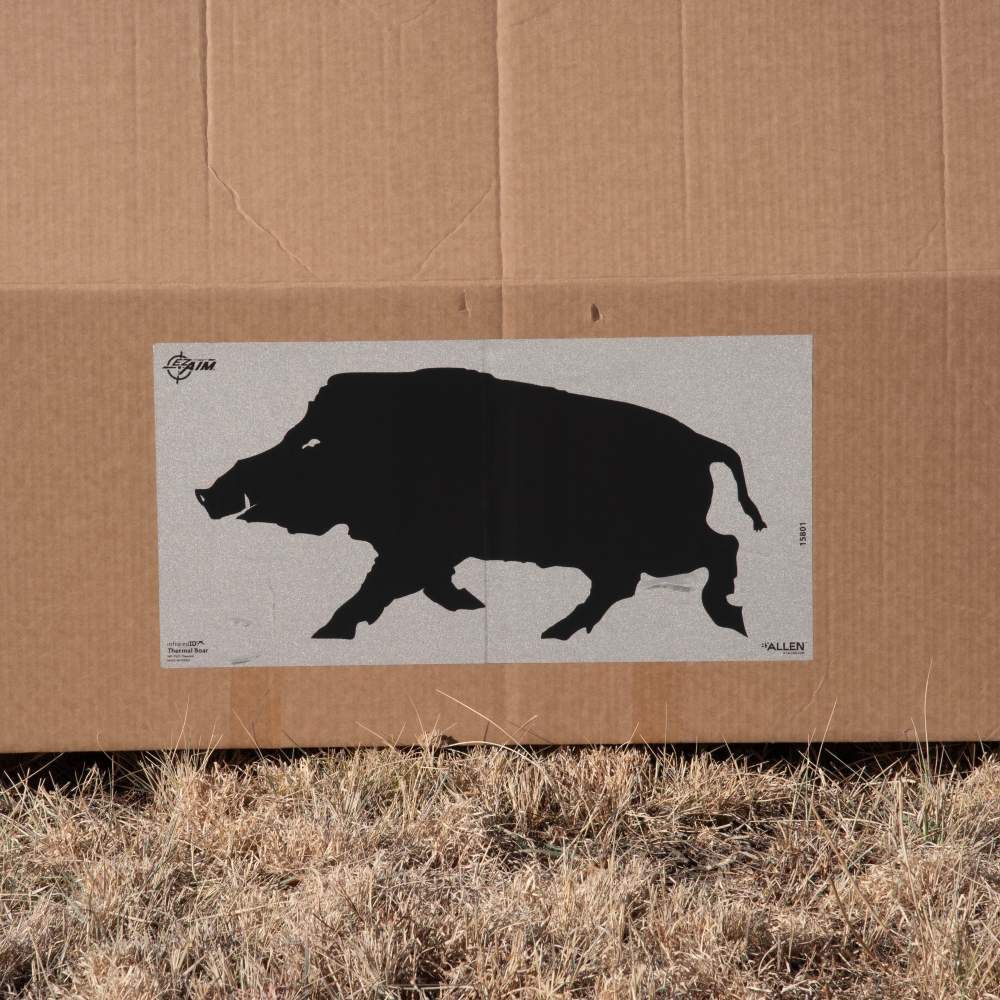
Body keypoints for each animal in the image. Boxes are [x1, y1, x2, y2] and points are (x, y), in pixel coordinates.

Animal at [195, 367, 765, 640]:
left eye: (308, 442)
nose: (206, 492)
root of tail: (703, 443)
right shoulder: (424, 550)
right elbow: (420, 584)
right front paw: (473, 606)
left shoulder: (417, 546)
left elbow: (373, 590)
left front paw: (326, 634)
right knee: (626, 582)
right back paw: (553, 633)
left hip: (661, 539)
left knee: (723, 545)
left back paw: (729, 620)